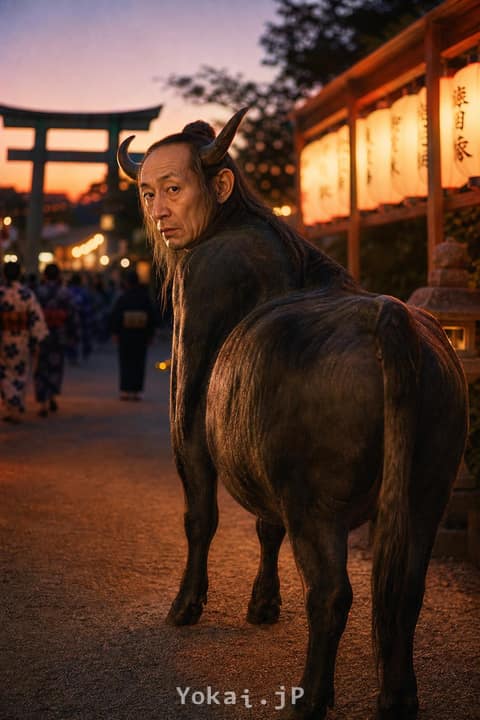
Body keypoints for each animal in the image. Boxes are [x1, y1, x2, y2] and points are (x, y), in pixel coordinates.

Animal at [117, 108, 468, 720]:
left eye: (173, 187)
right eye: (148, 190)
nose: (159, 215)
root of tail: (391, 316)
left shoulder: (197, 316)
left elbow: (200, 514)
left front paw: (186, 605)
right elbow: (265, 525)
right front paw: (263, 604)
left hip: (317, 504)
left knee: (331, 593)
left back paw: (310, 696)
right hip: (429, 488)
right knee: (404, 589)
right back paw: (397, 695)